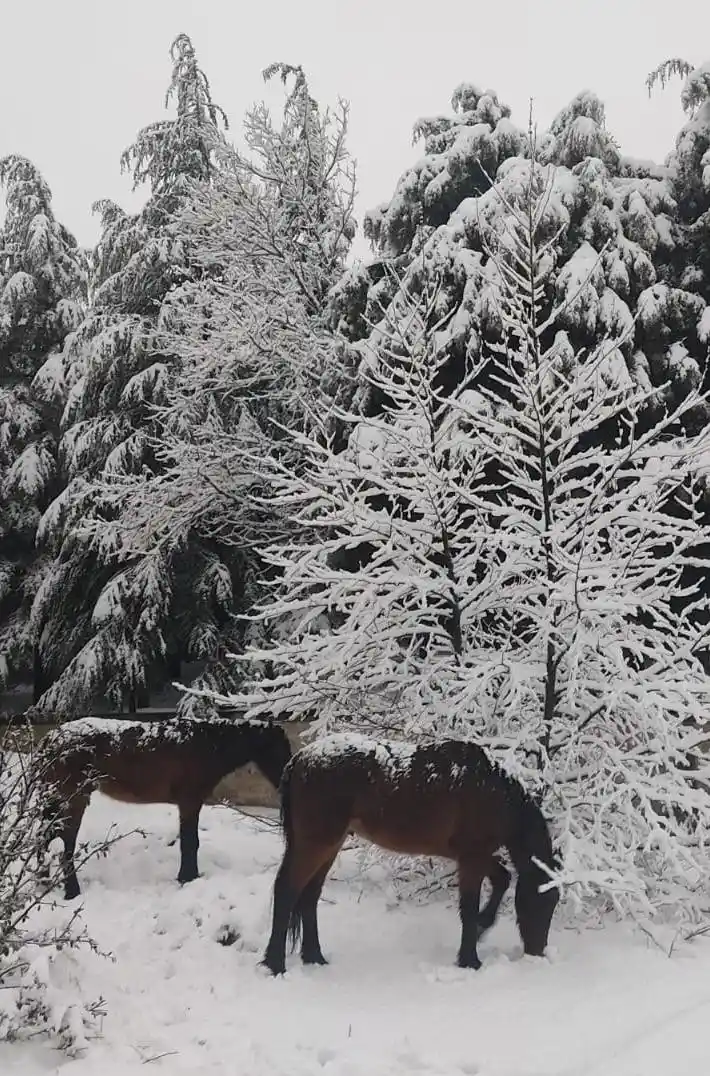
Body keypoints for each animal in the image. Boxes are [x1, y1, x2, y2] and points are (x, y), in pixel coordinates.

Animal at [35, 714, 290, 899]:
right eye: (279, 749)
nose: (286, 779)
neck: (208, 745)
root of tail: (50, 739)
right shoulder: (189, 802)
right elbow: (190, 842)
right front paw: (188, 877)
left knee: (44, 838)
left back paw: (43, 881)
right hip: (73, 800)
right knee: (65, 845)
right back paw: (71, 891)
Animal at [262, 731, 559, 977]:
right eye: (543, 901)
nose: (537, 950)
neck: (494, 793)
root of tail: (300, 758)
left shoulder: (473, 855)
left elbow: (502, 879)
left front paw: (481, 928)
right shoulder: (472, 857)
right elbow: (469, 906)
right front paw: (470, 959)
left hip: (329, 845)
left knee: (309, 896)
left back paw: (314, 957)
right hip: (317, 843)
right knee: (287, 889)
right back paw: (276, 964)